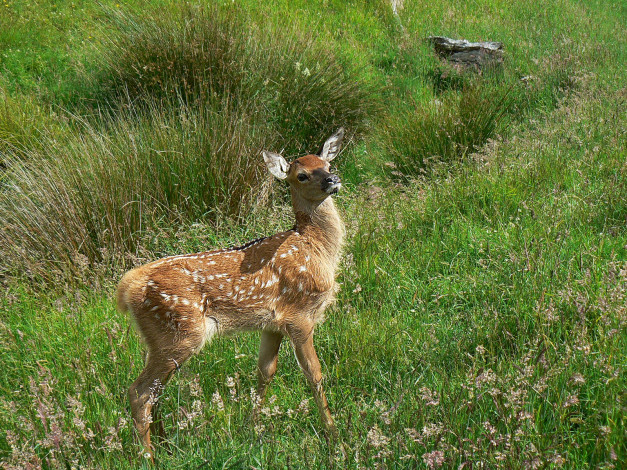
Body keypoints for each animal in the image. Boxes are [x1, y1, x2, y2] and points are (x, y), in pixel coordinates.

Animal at [118, 127, 348, 458]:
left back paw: (164, 446)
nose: (333, 179)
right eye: (302, 175)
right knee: (139, 392)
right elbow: (314, 374)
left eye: (327, 164)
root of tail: (128, 287)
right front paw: (335, 437)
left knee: (154, 392)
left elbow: (265, 372)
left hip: (161, 339)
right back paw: (148, 457)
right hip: (179, 332)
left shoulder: (272, 324)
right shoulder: (300, 315)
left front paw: (252, 429)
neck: (315, 246)